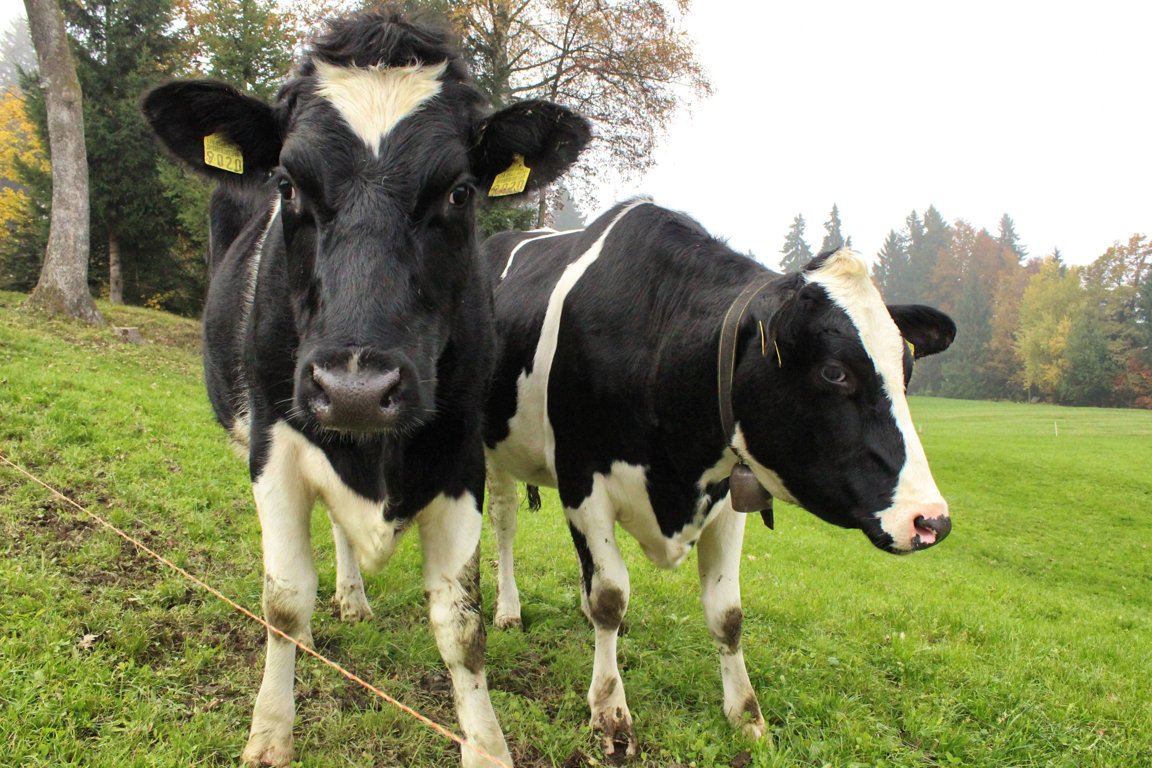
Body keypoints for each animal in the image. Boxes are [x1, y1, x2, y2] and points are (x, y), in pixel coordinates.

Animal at [141, 11, 590, 767]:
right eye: (288, 185)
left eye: (459, 192)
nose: (355, 389)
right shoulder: (274, 444)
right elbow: (284, 599)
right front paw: (270, 733)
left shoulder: (460, 454)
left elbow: (461, 624)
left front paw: (486, 745)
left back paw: (352, 598)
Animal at [479, 199, 956, 756]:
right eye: (835, 372)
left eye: (906, 369)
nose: (931, 521)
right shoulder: (584, 482)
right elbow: (611, 596)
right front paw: (610, 712)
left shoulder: (728, 496)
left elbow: (726, 613)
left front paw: (746, 713)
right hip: (490, 449)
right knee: (505, 524)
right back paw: (508, 609)